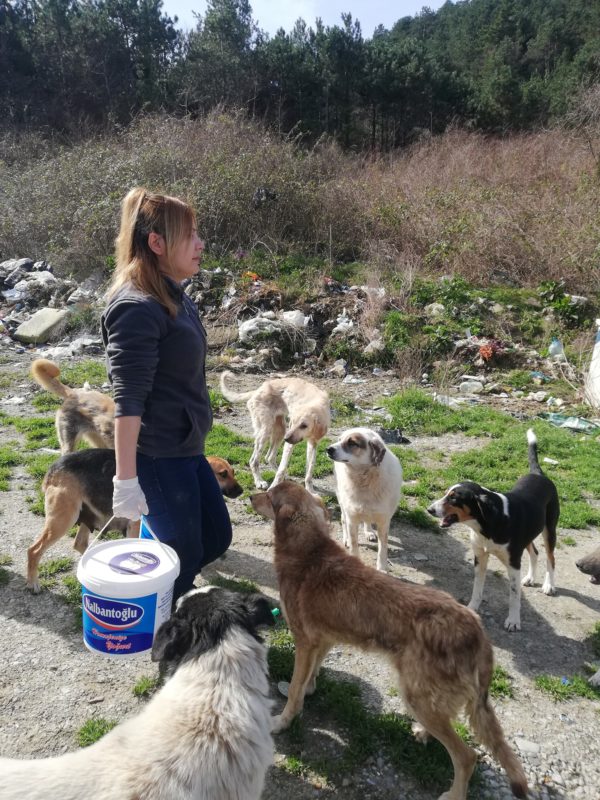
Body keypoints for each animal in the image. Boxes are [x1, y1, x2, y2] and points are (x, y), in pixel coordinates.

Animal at [27, 450, 244, 592]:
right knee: (34, 549)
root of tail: (54, 467)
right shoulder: (135, 528)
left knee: (79, 543)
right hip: (64, 519)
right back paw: (32, 582)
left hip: (84, 516)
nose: (242, 491)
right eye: (223, 474)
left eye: (233, 472)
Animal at [251, 482, 528, 800]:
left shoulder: (304, 642)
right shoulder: (323, 639)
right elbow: (310, 677)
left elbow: (295, 690)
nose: (250, 494)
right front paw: (310, 690)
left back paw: (454, 793)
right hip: (428, 698)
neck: (309, 551)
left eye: (270, 495)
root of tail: (476, 628)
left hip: (415, 696)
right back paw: (423, 732)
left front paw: (283, 721)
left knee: (467, 756)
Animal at [326, 428, 406, 572]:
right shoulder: (352, 518)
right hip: (342, 500)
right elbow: (354, 544)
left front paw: (382, 568)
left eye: (352, 443)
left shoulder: (384, 521)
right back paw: (346, 538)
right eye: (340, 439)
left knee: (367, 520)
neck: (365, 478)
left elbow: (383, 548)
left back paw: (369, 532)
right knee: (343, 519)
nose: (328, 449)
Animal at [426, 428, 556, 636]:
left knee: (551, 558)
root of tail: (538, 474)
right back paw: (530, 578)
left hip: (549, 530)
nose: (430, 510)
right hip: (529, 534)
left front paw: (513, 621)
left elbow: (514, 597)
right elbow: (477, 589)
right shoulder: (480, 557)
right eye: (446, 494)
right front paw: (472, 608)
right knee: (535, 552)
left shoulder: (513, 564)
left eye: (454, 499)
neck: (486, 526)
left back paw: (549, 585)